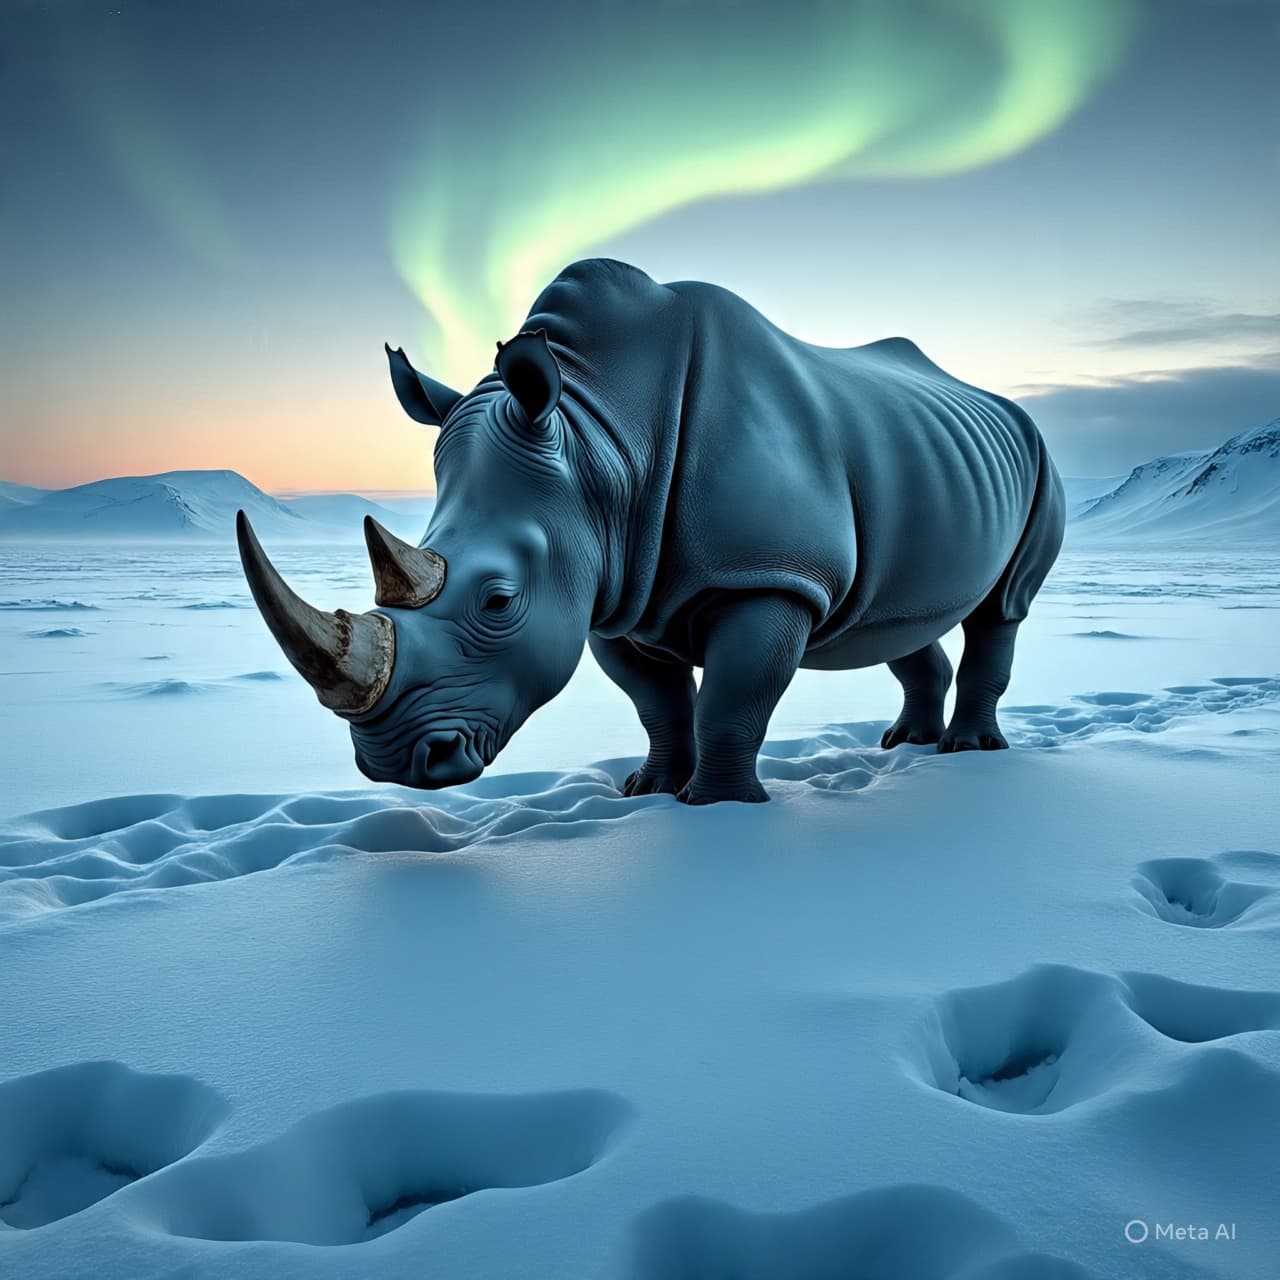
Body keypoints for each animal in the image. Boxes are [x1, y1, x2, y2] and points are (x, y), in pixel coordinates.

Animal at [237, 258, 1065, 804]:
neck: (596, 436)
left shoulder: (769, 575)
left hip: (1038, 457)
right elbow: (657, 702)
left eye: (499, 601)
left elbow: (732, 696)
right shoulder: (614, 592)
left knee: (1002, 607)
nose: (395, 764)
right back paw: (906, 745)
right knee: (890, 613)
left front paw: (720, 807)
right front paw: (650, 790)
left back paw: (967, 751)